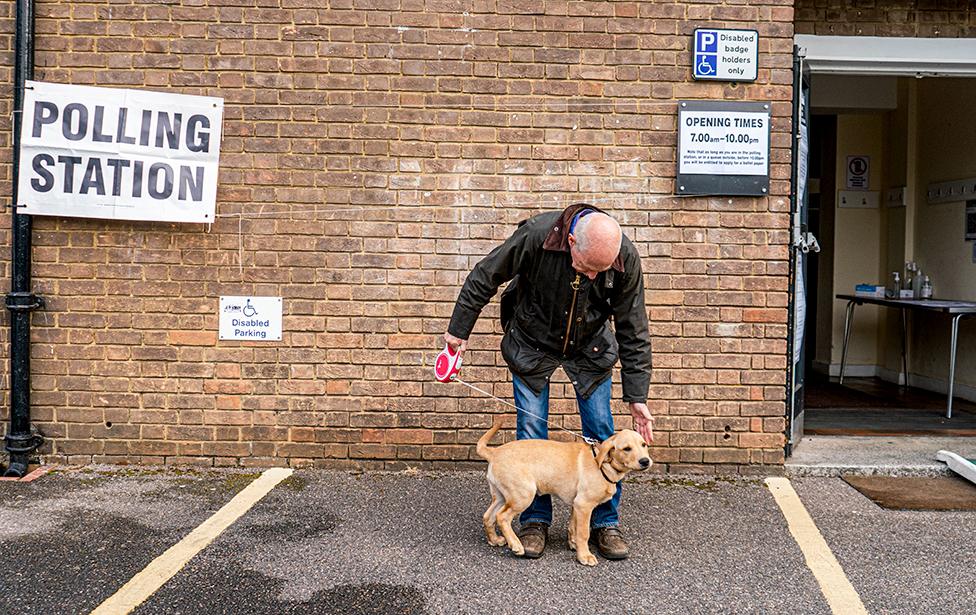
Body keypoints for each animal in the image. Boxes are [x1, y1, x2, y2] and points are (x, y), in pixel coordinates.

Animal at [476, 418, 652, 568]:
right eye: (627, 449)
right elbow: (583, 533)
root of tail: (494, 452)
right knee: (502, 516)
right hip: (523, 495)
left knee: (488, 516)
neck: (603, 464)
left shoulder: (577, 504)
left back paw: (494, 539)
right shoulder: (584, 505)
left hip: (502, 496)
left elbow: (573, 527)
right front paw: (585, 556)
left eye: (644, 445)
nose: (645, 461)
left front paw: (574, 544)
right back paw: (516, 544)